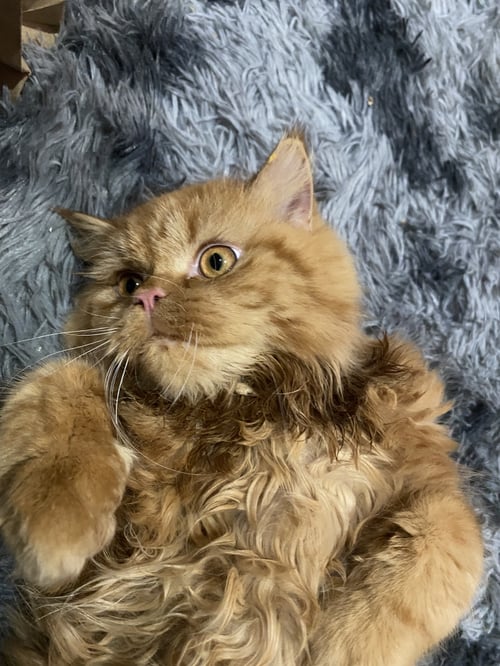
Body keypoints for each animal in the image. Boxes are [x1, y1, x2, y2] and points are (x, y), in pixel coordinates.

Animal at [0, 132, 482, 665]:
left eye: (216, 261)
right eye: (128, 282)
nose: (147, 297)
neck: (242, 407)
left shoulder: (423, 475)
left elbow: (444, 538)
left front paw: (341, 641)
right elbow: (63, 381)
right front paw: (55, 521)